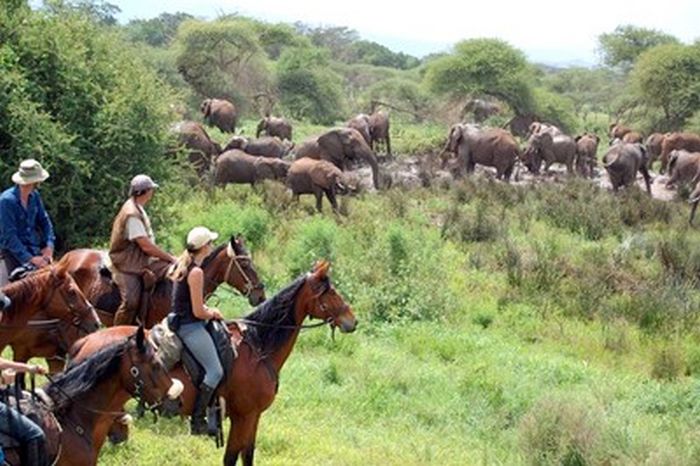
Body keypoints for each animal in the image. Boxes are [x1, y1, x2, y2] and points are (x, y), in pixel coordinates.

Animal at [71, 260, 356, 464]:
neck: (259, 347)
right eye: (330, 292)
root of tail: (83, 343)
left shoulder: (252, 418)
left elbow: (247, 456)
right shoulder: (244, 416)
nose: (352, 321)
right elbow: (232, 458)